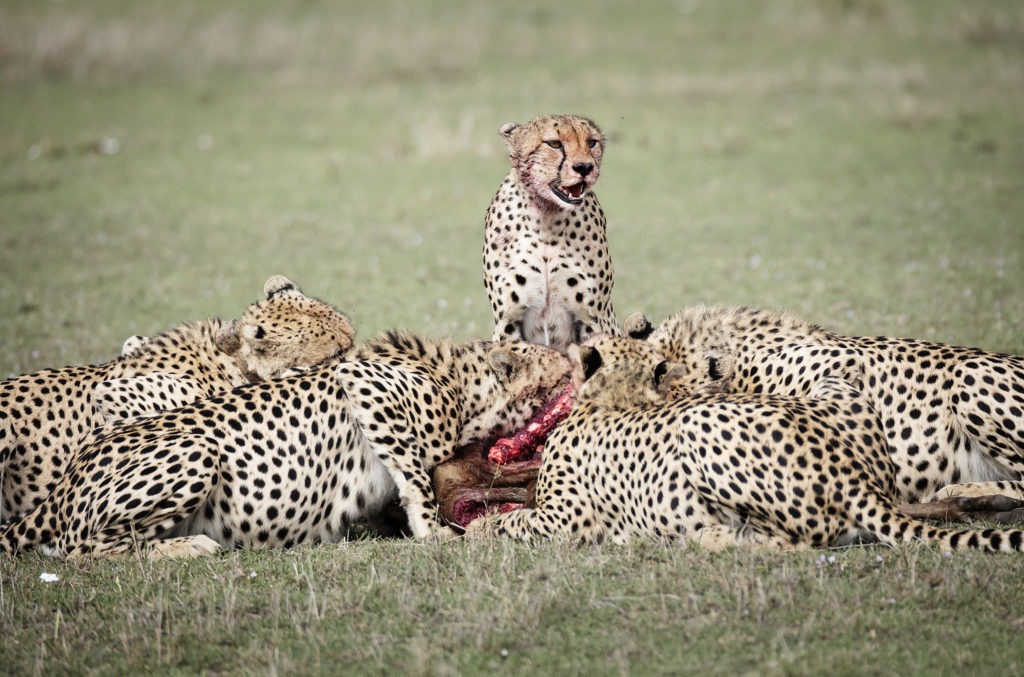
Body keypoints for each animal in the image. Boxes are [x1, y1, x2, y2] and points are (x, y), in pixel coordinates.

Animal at [0, 331, 569, 561]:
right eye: (561, 370)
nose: (577, 366)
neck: (463, 385)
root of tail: (68, 476)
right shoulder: (362, 382)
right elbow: (413, 475)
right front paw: (434, 533)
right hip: (196, 452)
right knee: (77, 547)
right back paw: (188, 547)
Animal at [468, 335, 1024, 553]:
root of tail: (853, 480)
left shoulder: (567, 519)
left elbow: (512, 521)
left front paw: (478, 529)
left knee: (792, 543)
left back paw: (706, 538)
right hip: (838, 391)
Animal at [485, 112, 618, 350]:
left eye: (591, 142)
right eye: (554, 144)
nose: (584, 167)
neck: (546, 214)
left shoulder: (592, 318)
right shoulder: (508, 320)